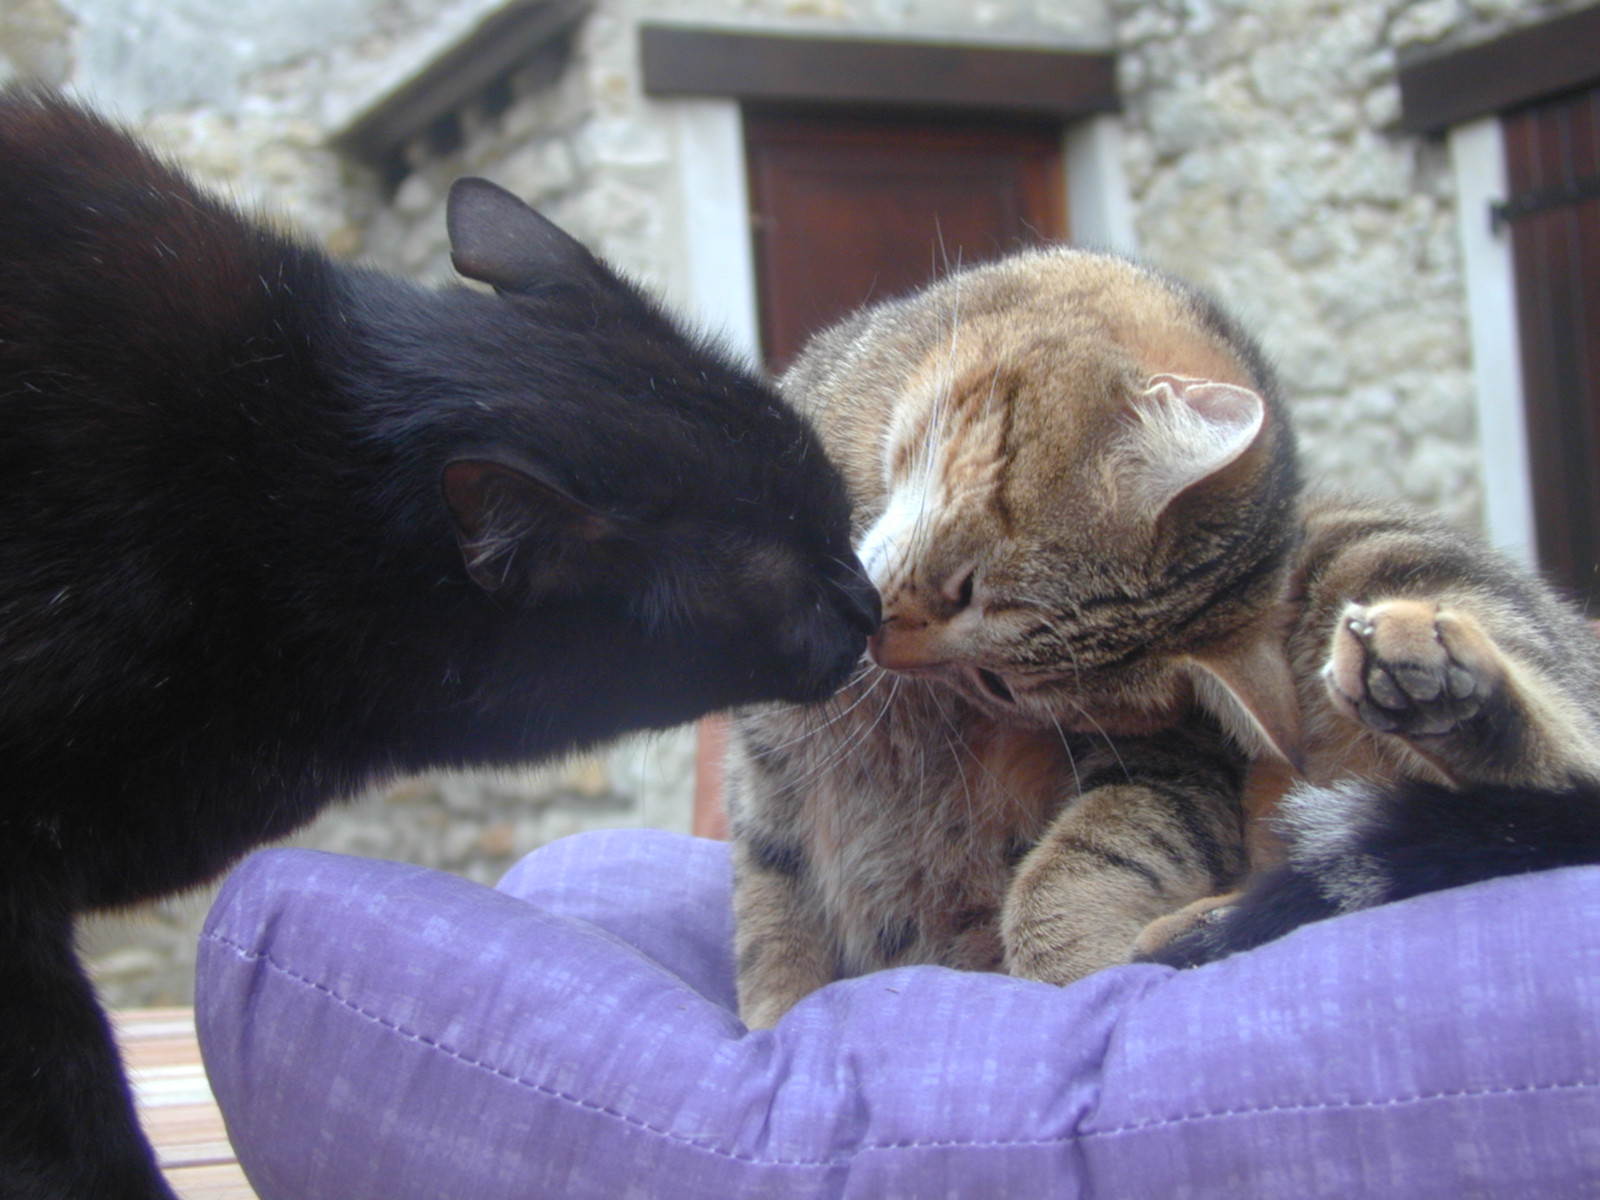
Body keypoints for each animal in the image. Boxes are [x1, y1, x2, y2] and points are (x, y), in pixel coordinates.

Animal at [732, 246, 1600, 1036]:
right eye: (997, 684)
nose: (882, 643)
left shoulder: (1176, 770)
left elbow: (1067, 884)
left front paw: (1085, 972)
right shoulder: (767, 782)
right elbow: (773, 930)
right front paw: (773, 1029)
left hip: (1374, 556)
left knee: (1551, 781)